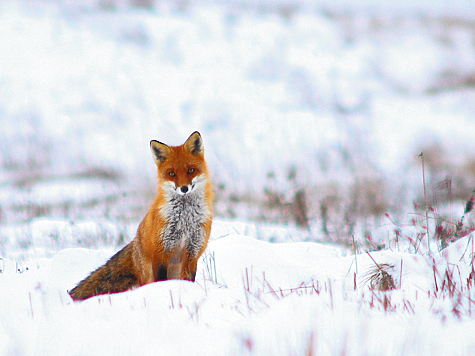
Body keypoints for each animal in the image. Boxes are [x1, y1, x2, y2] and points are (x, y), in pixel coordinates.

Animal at [69, 131, 214, 300]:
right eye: (171, 173)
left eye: (191, 170)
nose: (184, 188)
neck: (185, 219)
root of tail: (135, 242)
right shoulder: (160, 252)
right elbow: (160, 280)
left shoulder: (193, 254)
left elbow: (189, 279)